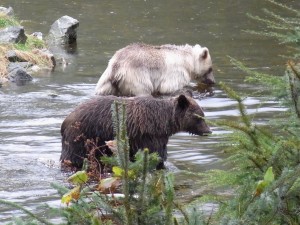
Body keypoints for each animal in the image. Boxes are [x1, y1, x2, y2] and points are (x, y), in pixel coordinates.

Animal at [60, 94, 211, 170]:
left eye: (202, 115)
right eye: (199, 117)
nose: (208, 131)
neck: (164, 122)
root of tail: (65, 120)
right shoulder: (149, 136)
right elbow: (156, 155)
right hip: (82, 137)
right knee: (75, 157)